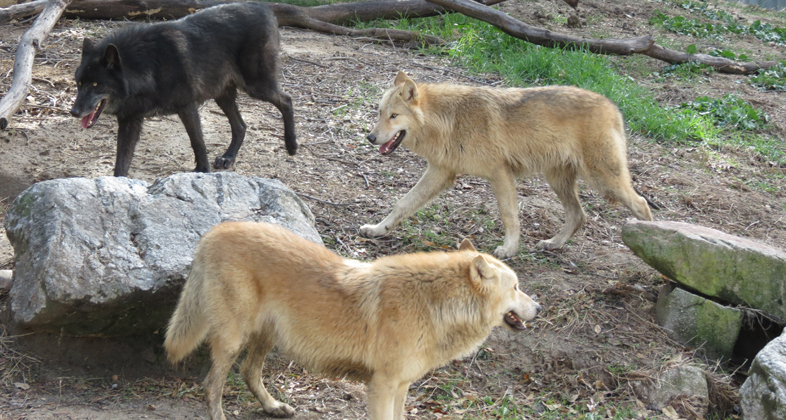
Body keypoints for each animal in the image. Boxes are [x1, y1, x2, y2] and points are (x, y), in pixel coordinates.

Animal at [70, 2, 296, 176]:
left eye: (96, 84)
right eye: (79, 84)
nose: (73, 112)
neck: (147, 67)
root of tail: (264, 8)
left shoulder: (186, 106)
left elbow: (198, 143)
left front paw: (203, 171)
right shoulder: (129, 121)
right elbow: (121, 162)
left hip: (255, 85)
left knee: (286, 99)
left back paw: (291, 145)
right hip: (222, 96)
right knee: (240, 126)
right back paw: (228, 157)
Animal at [161, 221, 540, 418]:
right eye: (517, 287)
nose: (538, 308)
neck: (432, 304)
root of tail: (213, 232)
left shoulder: (401, 386)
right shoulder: (382, 385)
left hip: (264, 337)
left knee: (249, 374)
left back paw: (275, 407)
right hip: (232, 340)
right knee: (212, 385)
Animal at [364, 70, 652, 258]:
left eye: (394, 116)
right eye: (379, 113)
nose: (371, 137)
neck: (450, 120)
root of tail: (614, 107)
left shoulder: (499, 173)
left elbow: (509, 215)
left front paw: (509, 249)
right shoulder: (440, 172)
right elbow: (402, 204)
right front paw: (378, 230)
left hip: (603, 180)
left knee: (641, 204)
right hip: (559, 180)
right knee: (579, 215)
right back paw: (553, 244)